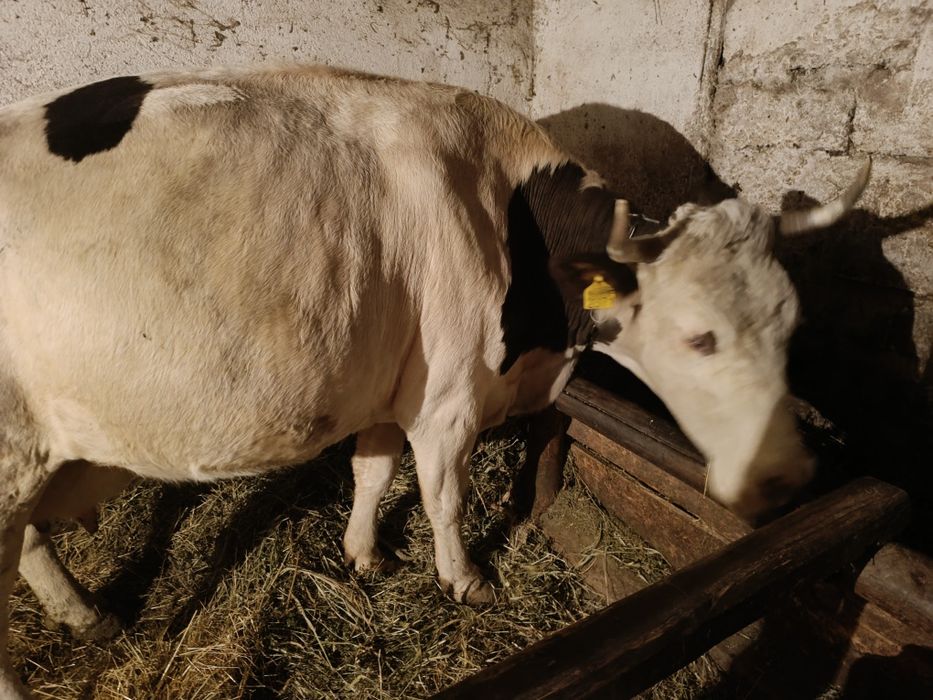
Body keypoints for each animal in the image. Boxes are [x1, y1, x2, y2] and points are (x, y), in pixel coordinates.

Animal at [0, 64, 868, 697]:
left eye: (790, 322)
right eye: (699, 337)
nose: (788, 472)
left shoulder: (397, 385)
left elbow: (372, 472)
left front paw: (365, 555)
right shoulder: (450, 399)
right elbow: (443, 496)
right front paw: (466, 580)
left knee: (30, 542)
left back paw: (89, 617)